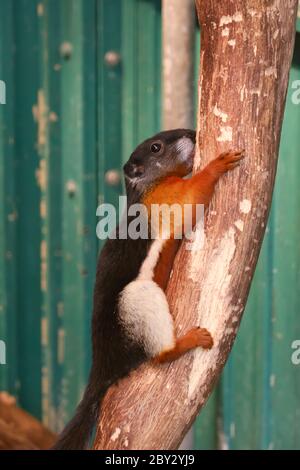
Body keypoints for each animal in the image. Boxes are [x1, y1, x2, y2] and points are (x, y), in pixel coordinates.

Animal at [52, 127, 244, 448]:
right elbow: (191, 199)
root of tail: (104, 366)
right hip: (137, 300)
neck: (148, 187)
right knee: (160, 354)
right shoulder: (166, 201)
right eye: (155, 147)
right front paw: (217, 164)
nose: (192, 133)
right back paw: (184, 342)